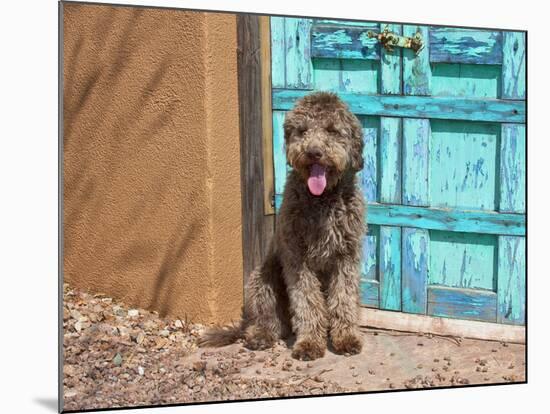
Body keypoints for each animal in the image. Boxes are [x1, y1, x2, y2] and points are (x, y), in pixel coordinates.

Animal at [202, 90, 366, 360]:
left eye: (332, 130)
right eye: (302, 130)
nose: (313, 152)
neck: (322, 200)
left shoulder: (346, 256)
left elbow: (344, 298)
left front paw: (346, 338)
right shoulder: (297, 258)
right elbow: (307, 302)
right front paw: (309, 343)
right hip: (261, 279)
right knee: (266, 319)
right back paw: (260, 335)